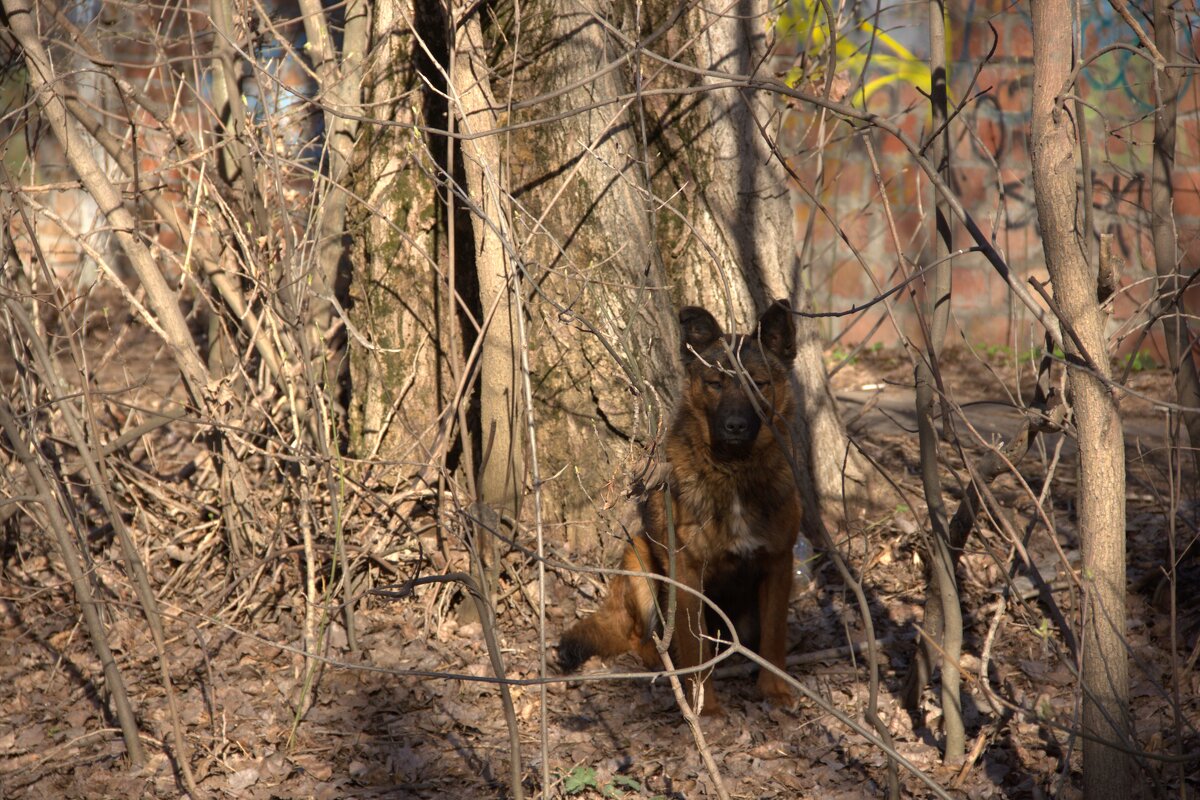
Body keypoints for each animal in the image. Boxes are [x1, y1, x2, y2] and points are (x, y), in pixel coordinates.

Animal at [556, 299, 801, 714]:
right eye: (715, 383)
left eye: (759, 383)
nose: (735, 426)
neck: (734, 472)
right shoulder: (686, 572)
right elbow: (694, 645)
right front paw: (705, 708)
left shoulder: (778, 561)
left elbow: (774, 635)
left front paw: (774, 690)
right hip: (639, 561)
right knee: (641, 638)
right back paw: (663, 664)